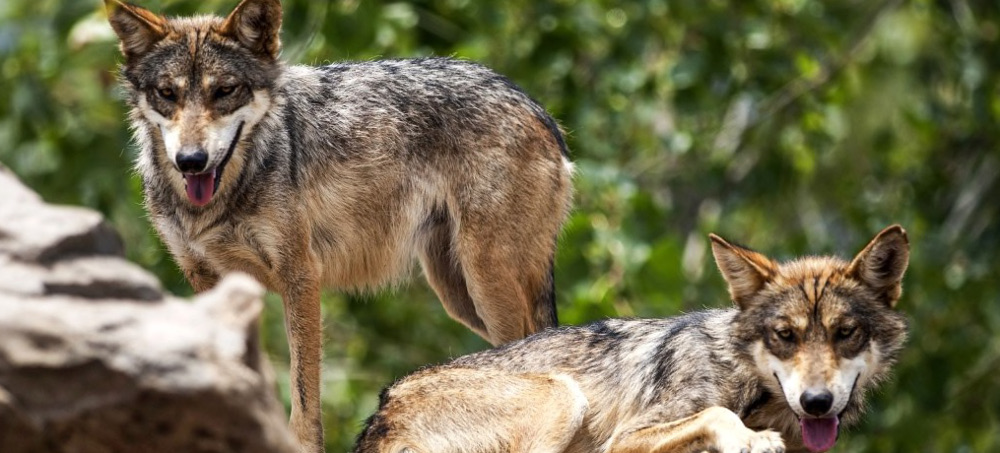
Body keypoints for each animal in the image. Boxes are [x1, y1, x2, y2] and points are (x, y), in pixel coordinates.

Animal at [105, 0, 576, 446]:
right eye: (167, 93)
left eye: (224, 91)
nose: (191, 160)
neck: (218, 201)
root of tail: (537, 108)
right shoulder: (207, 279)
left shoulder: (300, 276)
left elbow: (303, 393)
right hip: (458, 293)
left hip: (487, 283)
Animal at [356, 226, 912, 452]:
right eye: (785, 336)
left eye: (845, 334)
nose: (817, 403)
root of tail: (381, 411)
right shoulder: (624, 440)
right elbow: (715, 414)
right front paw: (749, 439)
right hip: (562, 396)